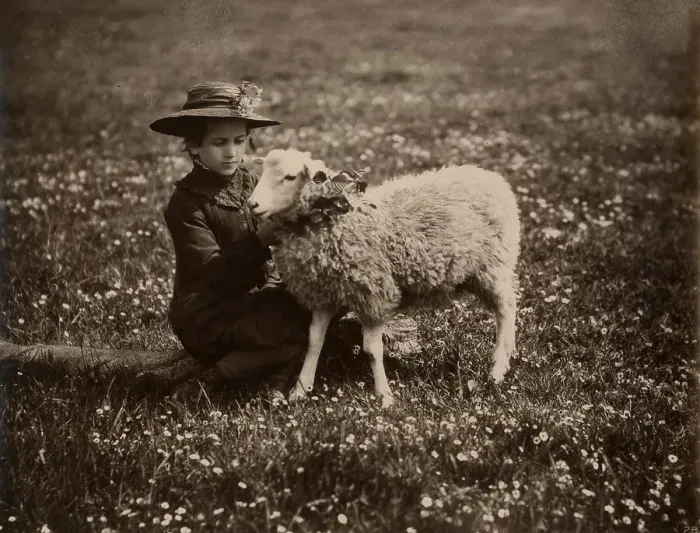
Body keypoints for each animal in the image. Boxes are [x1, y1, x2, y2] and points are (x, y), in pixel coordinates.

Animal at [247, 149, 521, 407]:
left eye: (289, 177)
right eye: (263, 172)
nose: (252, 204)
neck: (333, 217)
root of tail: (491, 177)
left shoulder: (374, 294)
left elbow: (371, 350)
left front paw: (384, 396)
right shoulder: (324, 294)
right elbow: (314, 342)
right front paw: (301, 390)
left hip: (494, 266)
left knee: (506, 310)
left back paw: (498, 369)